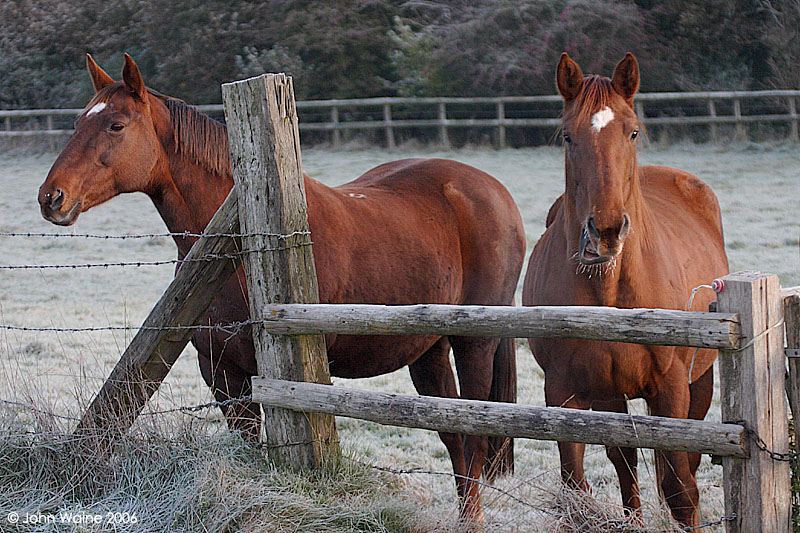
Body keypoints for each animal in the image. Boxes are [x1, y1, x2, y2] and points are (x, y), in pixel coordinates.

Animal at [37, 54, 528, 520]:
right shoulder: (223, 374)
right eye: (77, 122)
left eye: (116, 125)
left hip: (473, 344)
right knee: (455, 438)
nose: (51, 197)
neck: (237, 246)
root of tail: (489, 189)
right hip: (428, 350)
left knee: (476, 440)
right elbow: (249, 448)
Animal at [520, 52, 728, 524]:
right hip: (610, 395)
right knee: (625, 462)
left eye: (632, 131)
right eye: (568, 136)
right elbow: (577, 484)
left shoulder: (672, 387)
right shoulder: (565, 391)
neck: (612, 293)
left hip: (698, 383)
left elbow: (681, 489)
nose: (607, 231)